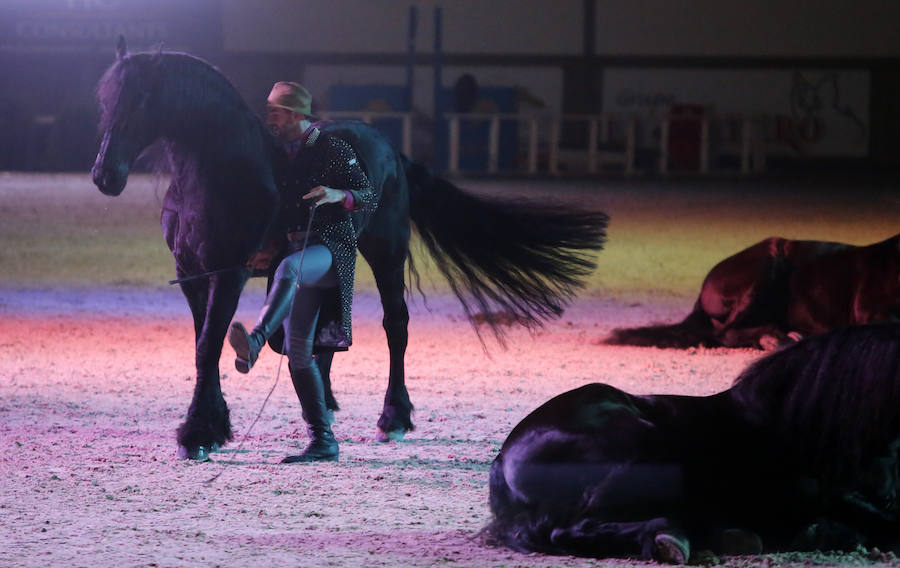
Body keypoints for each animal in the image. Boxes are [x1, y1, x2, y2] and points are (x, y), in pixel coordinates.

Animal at [91, 37, 608, 460]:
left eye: (141, 99)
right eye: (105, 100)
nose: (104, 175)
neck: (220, 174)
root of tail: (390, 148)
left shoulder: (228, 273)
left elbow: (208, 345)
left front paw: (198, 434)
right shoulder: (193, 276)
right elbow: (206, 345)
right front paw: (214, 425)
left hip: (386, 253)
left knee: (395, 326)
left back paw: (393, 417)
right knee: (322, 333)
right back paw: (326, 400)